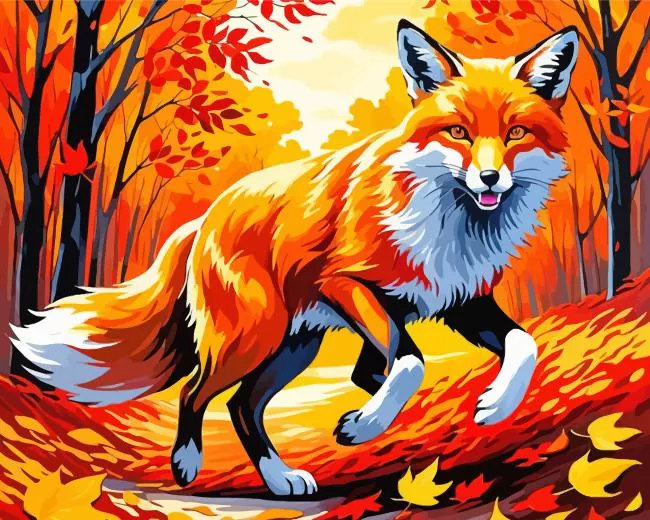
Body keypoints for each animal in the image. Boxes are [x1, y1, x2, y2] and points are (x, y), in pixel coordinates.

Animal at [12, 20, 578, 496]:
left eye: (516, 133)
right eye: (458, 132)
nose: (490, 179)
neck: (451, 225)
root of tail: (206, 218)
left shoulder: (457, 298)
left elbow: (519, 344)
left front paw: (494, 404)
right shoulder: (345, 283)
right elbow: (408, 361)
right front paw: (365, 424)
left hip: (294, 346)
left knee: (241, 406)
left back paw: (279, 477)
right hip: (254, 335)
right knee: (196, 392)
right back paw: (188, 462)